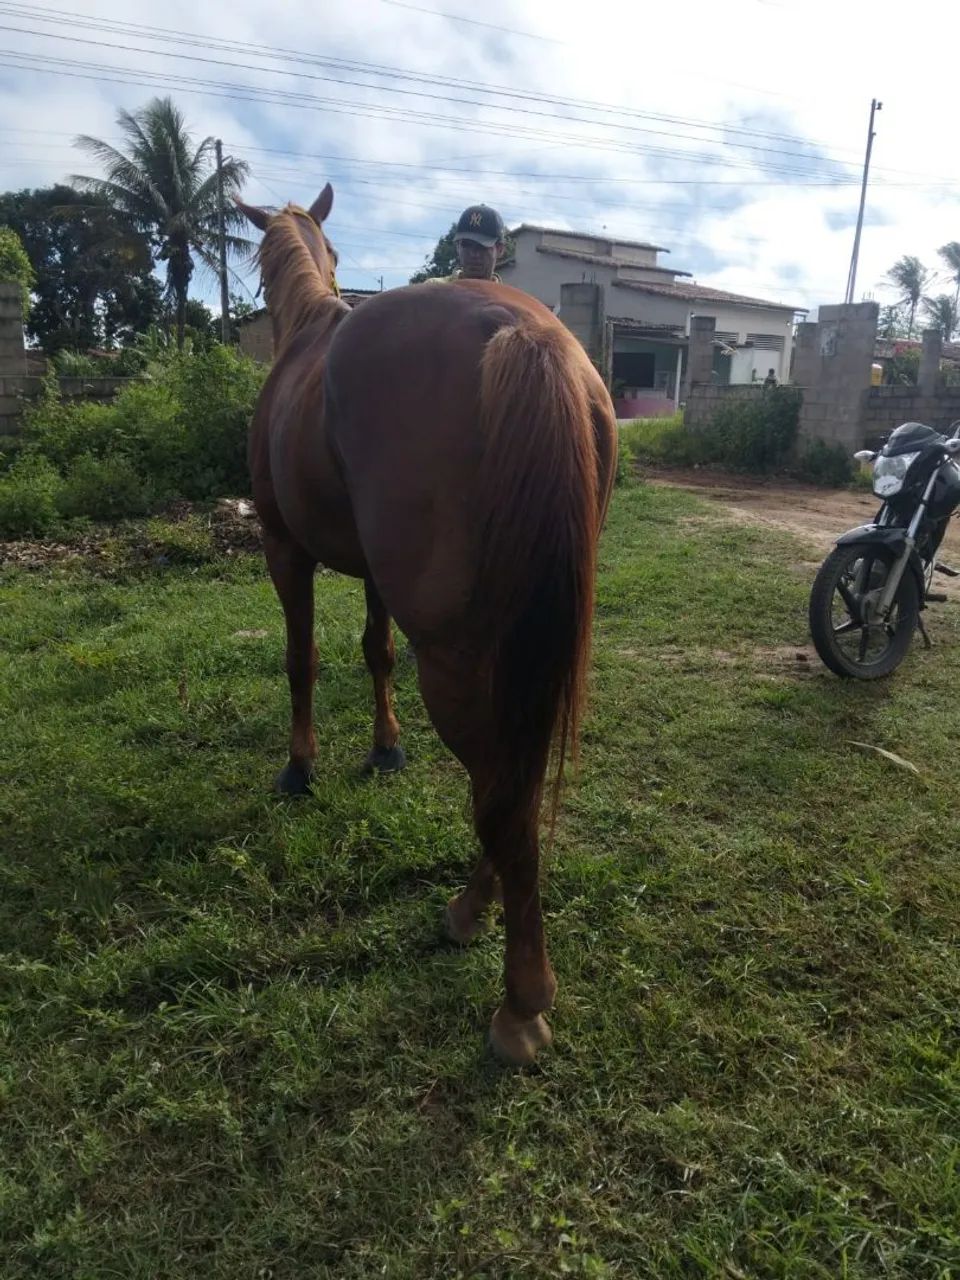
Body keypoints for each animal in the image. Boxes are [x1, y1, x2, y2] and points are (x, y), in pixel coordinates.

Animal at [237, 185, 617, 1065]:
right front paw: (384, 747)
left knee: (503, 796)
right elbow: (374, 653)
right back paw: (474, 912)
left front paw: (300, 765)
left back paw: (518, 1002)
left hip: (457, 657)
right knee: (510, 783)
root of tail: (526, 333)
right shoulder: (375, 578)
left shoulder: (283, 548)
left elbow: (302, 659)